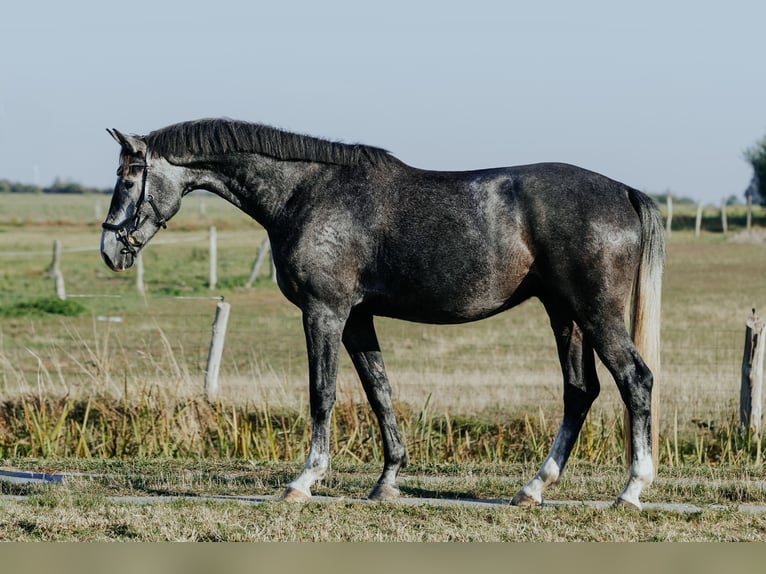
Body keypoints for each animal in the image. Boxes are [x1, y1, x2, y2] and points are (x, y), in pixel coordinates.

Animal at [100, 118, 664, 512]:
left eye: (129, 179)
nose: (110, 249)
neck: (306, 192)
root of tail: (624, 191)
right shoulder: (357, 319)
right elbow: (380, 391)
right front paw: (388, 480)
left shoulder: (324, 313)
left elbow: (322, 393)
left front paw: (304, 481)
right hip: (565, 315)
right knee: (580, 392)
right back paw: (534, 488)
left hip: (596, 314)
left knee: (635, 379)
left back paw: (631, 490)